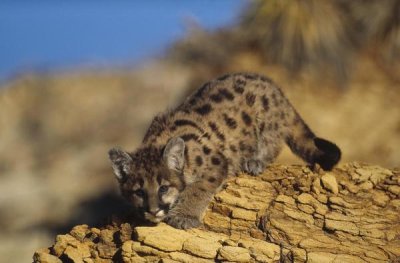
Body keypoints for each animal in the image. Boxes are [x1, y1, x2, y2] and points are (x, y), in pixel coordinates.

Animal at [108, 73, 340, 230]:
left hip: (266, 118)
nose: (153, 210)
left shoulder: (216, 162)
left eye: (163, 188)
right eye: (139, 192)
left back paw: (255, 161)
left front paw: (185, 216)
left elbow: (199, 188)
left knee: (272, 142)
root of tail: (276, 88)